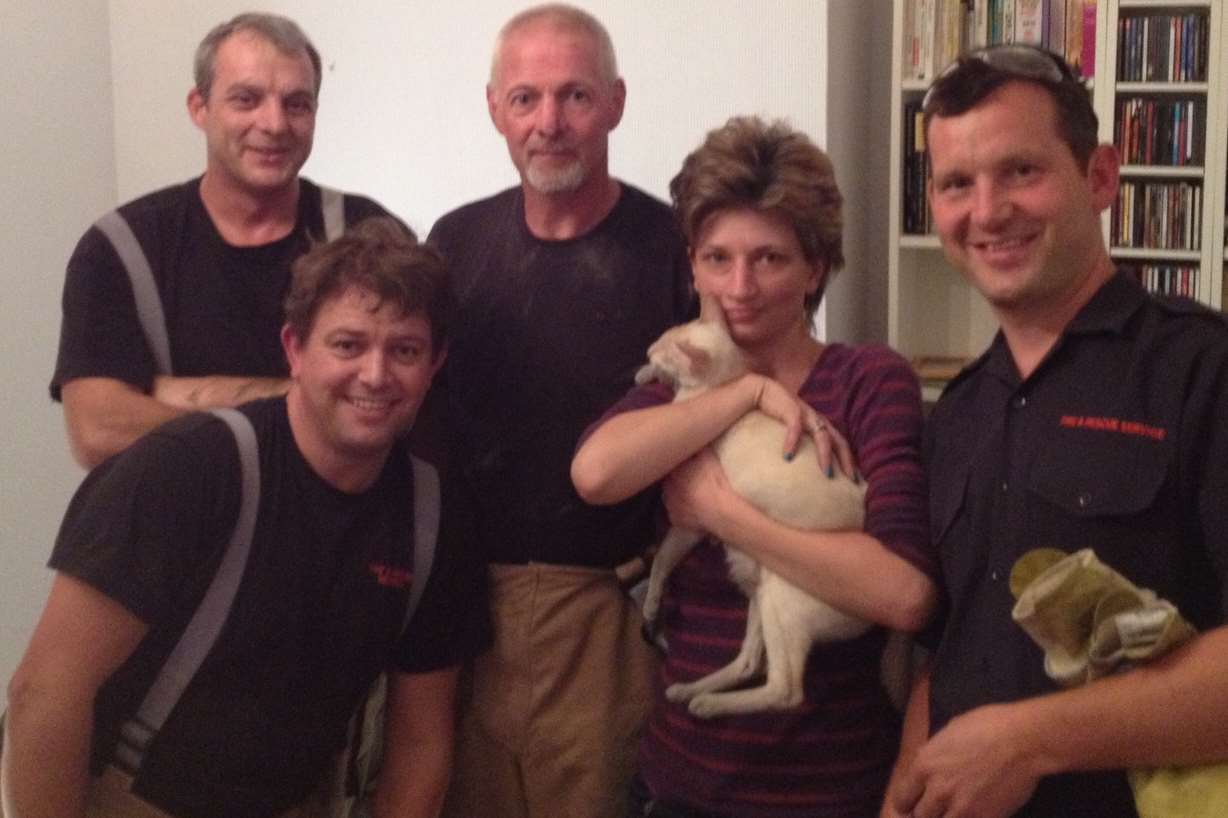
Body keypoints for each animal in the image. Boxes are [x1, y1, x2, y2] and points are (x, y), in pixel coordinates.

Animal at [638, 298, 869, 712]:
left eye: (665, 346)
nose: (648, 350)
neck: (718, 386)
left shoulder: (691, 521)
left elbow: (661, 560)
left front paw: (650, 608)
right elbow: (663, 559)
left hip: (778, 596)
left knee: (785, 689)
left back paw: (708, 705)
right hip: (760, 594)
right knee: (749, 662)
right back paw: (690, 692)